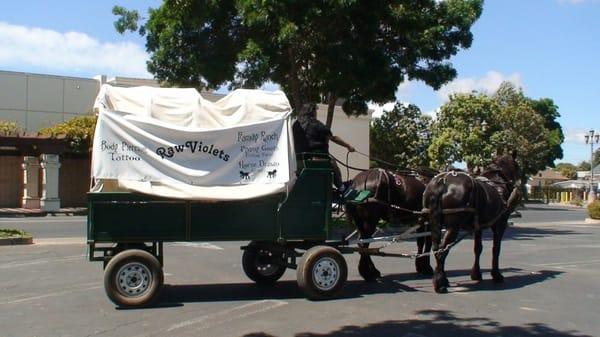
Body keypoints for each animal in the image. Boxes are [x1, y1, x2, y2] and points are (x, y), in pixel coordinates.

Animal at [422, 152, 520, 292]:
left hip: (434, 221)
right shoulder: (500, 223)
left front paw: (476, 274)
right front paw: (496, 274)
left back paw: (442, 278)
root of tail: (442, 181)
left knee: (436, 248)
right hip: (453, 226)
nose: (518, 183)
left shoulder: (478, 225)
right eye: (517, 166)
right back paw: (440, 282)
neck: (498, 183)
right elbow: (496, 249)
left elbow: (477, 248)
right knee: (442, 250)